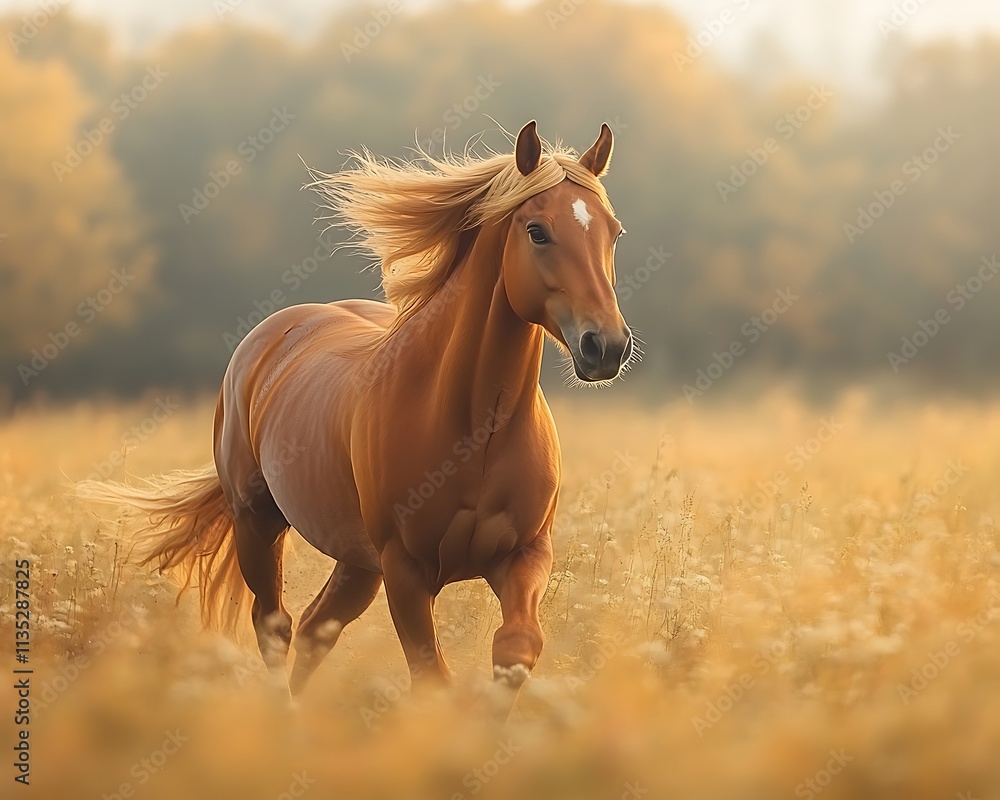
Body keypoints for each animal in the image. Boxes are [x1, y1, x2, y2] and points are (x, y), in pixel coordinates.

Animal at [79, 120, 634, 705]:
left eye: (614, 232)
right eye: (536, 231)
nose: (606, 346)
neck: (473, 428)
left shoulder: (525, 555)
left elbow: (516, 650)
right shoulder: (406, 571)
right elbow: (430, 677)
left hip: (356, 559)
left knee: (315, 629)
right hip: (259, 524)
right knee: (274, 625)